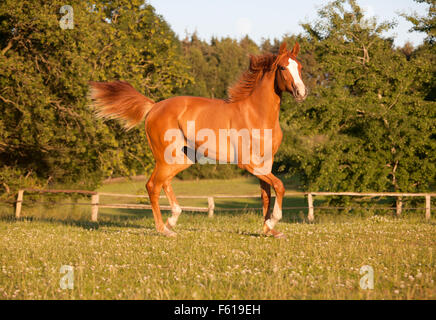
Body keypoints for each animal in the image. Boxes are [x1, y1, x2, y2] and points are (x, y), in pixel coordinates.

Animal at [89, 41, 306, 238]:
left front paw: (270, 230)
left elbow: (266, 194)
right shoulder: (247, 162)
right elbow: (280, 186)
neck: (256, 114)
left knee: (164, 182)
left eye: (300, 67)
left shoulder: (266, 162)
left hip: (180, 160)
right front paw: (272, 222)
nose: (302, 93)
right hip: (167, 157)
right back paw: (163, 229)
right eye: (282, 67)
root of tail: (154, 107)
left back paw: (171, 221)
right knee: (153, 185)